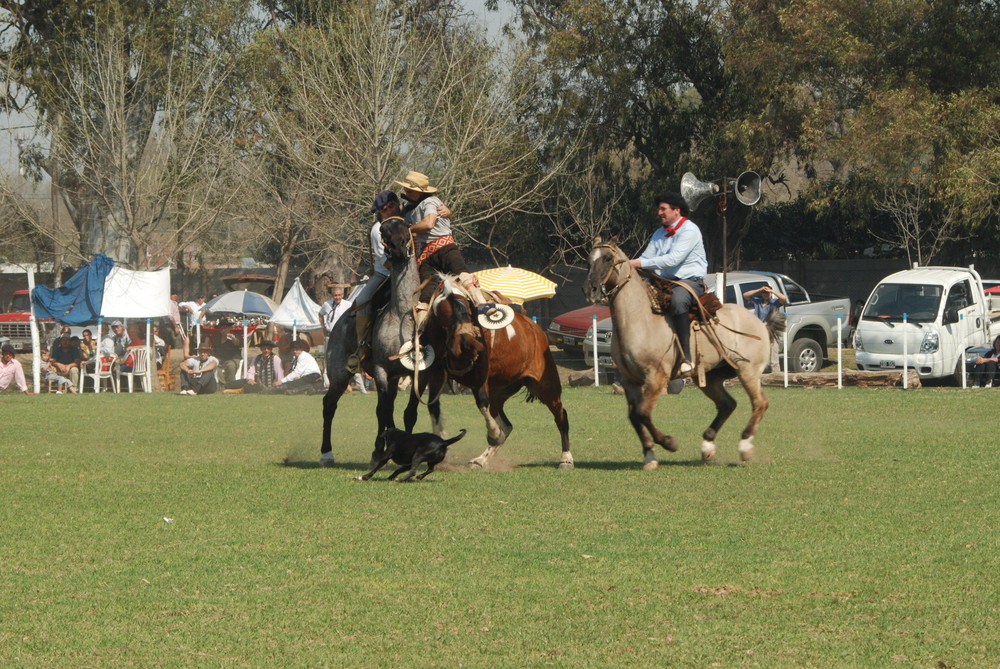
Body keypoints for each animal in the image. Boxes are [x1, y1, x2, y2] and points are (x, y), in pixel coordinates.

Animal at [424, 276, 580, 470]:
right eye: (444, 314)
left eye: (468, 309)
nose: (467, 340)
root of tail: (535, 328)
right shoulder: (436, 375)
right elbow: (433, 407)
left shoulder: (480, 377)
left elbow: (482, 404)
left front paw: (493, 434)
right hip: (500, 391)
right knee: (506, 425)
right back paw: (481, 459)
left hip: (546, 385)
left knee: (561, 416)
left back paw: (566, 458)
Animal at [584, 237, 784, 468]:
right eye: (590, 259)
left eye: (608, 258)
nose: (591, 290)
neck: (639, 320)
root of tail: (760, 322)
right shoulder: (629, 380)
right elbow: (635, 416)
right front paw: (650, 455)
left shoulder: (656, 377)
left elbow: (643, 412)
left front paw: (669, 443)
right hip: (710, 376)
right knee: (727, 404)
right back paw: (707, 447)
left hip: (747, 371)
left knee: (759, 403)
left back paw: (744, 447)